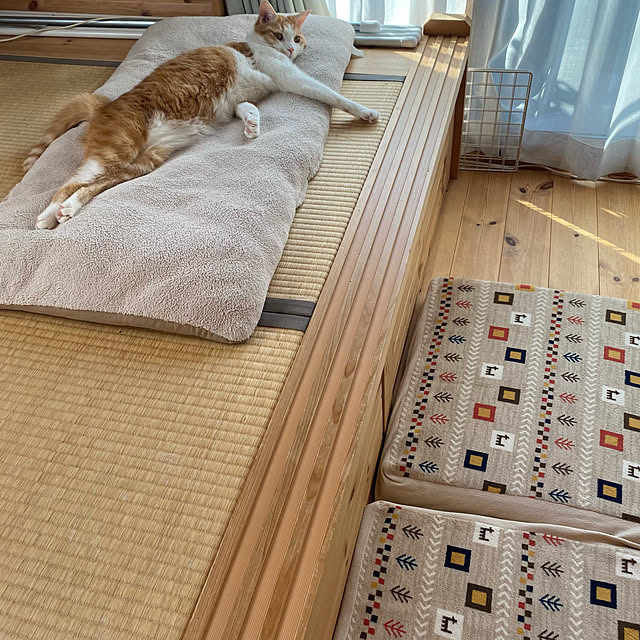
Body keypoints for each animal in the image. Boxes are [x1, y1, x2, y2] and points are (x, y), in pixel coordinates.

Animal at [28, 0, 380, 230]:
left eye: (297, 37)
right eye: (279, 36)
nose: (292, 49)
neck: (258, 48)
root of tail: (104, 104)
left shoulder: (241, 99)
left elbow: (247, 109)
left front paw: (252, 125)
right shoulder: (289, 77)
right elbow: (330, 93)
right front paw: (364, 111)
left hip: (141, 162)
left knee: (88, 184)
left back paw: (64, 211)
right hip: (120, 148)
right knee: (70, 182)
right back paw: (49, 214)